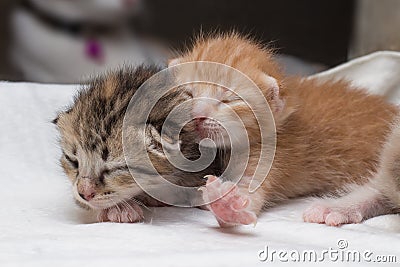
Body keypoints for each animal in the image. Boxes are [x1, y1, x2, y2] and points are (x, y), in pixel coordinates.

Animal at [170, 32, 400, 227]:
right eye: (188, 94)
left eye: (228, 100)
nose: (197, 115)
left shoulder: (274, 155)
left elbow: (248, 200)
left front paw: (226, 205)